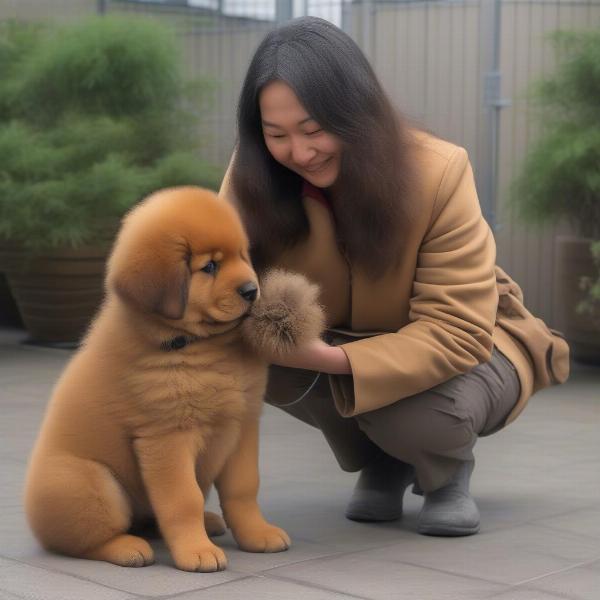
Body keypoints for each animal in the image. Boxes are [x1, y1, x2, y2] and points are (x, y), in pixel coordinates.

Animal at [24, 188, 324, 572]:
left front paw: (257, 534)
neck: (199, 345)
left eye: (242, 255)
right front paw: (197, 552)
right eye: (209, 267)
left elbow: (243, 488)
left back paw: (208, 523)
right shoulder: (167, 438)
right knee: (84, 539)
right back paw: (127, 548)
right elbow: (184, 500)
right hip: (89, 483)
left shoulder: (242, 424)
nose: (251, 290)